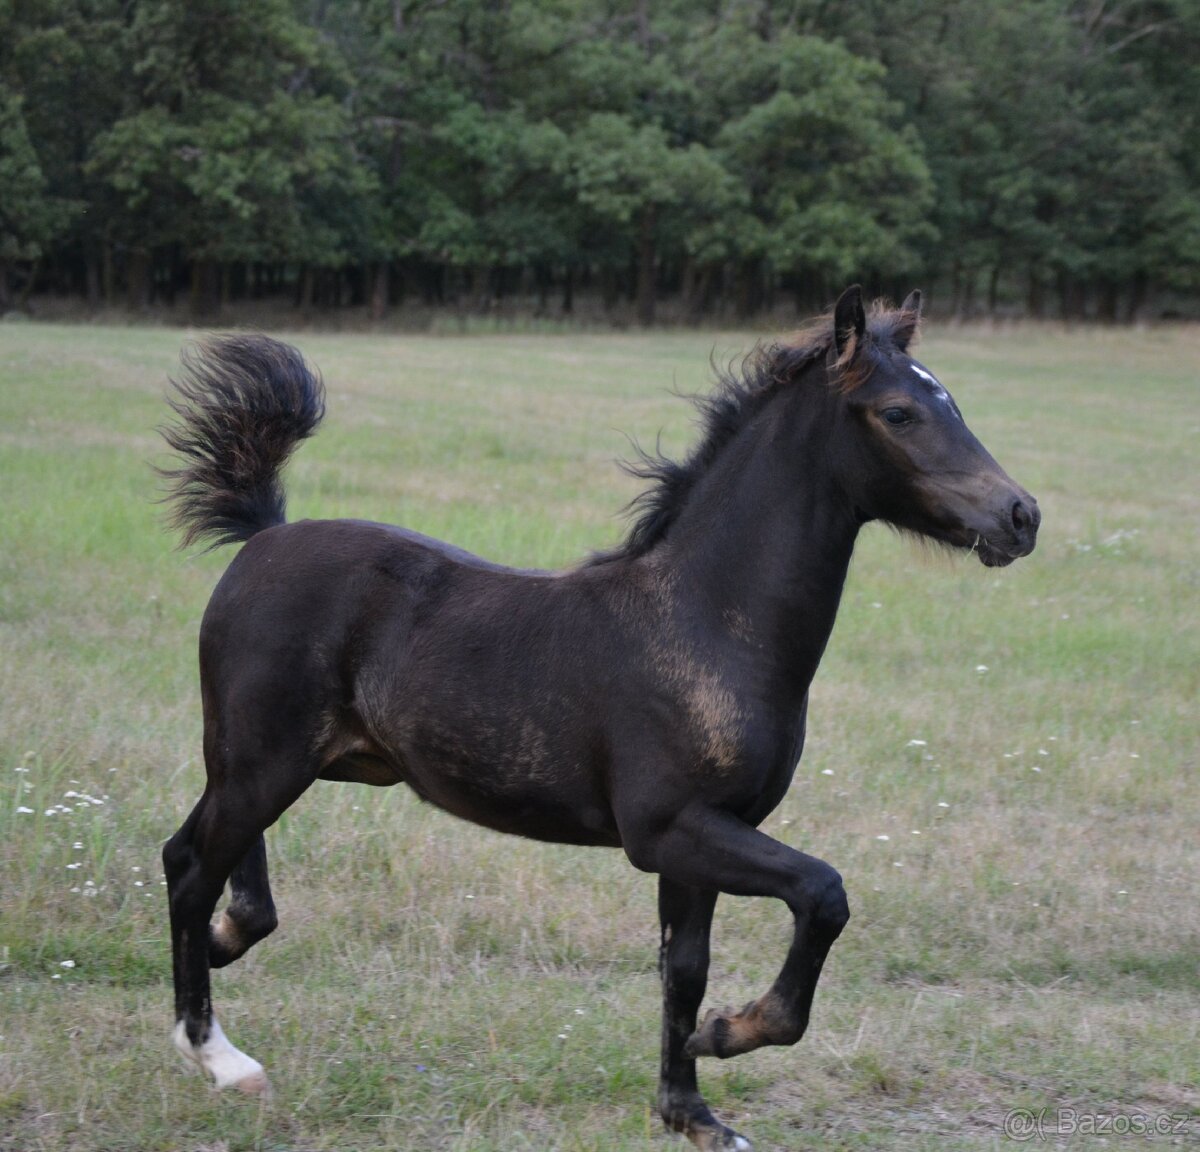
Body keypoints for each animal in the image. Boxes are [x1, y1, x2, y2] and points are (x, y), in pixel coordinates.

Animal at [159, 285, 1041, 1142]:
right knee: (193, 865)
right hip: (265, 760)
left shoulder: (703, 841)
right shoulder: (669, 828)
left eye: (951, 400)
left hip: (284, 761)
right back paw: (218, 1055)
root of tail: (262, 537)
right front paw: (731, 1033)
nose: (1021, 516)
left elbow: (684, 969)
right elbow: (822, 893)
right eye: (900, 412)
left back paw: (223, 946)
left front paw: (692, 1112)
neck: (708, 618)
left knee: (206, 859)